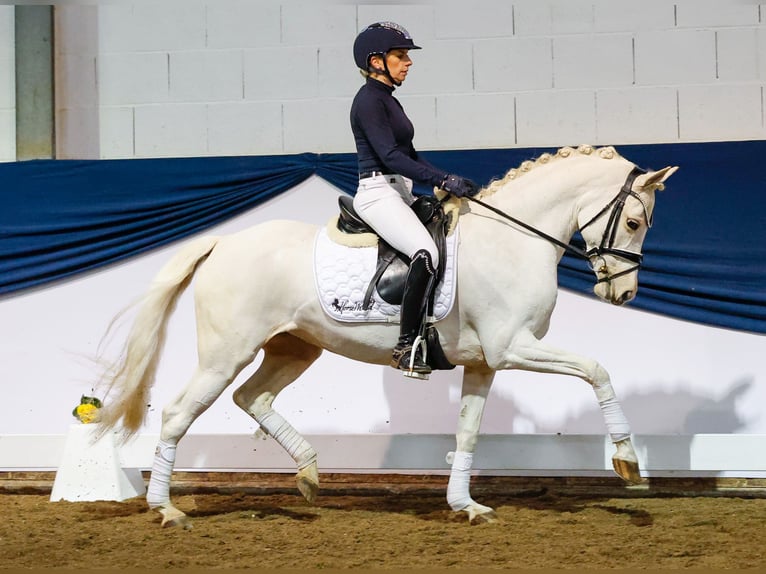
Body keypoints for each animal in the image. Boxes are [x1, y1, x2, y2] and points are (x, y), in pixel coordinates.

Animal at [94, 143, 680, 528]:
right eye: (634, 223)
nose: (622, 293)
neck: (512, 240)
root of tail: (223, 243)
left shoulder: (484, 362)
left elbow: (468, 433)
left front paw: (466, 505)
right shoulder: (513, 347)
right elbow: (597, 369)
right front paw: (627, 462)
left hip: (295, 347)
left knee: (252, 397)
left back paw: (309, 474)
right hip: (226, 352)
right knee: (179, 413)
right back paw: (167, 509)